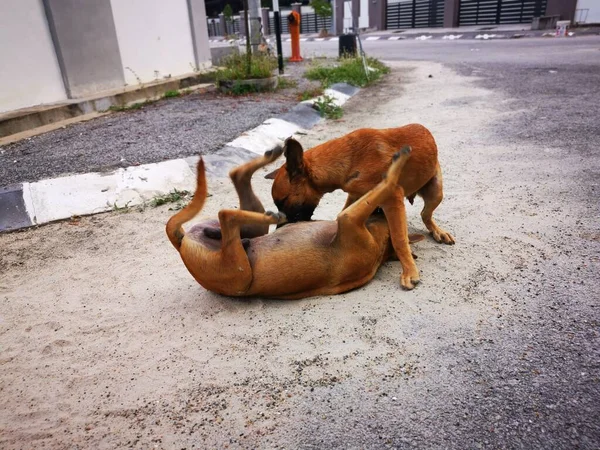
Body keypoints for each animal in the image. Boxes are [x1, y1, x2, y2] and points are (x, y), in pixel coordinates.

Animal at [268, 123, 454, 290]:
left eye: (283, 200)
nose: (279, 230)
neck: (349, 160)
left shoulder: (392, 199)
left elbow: (399, 239)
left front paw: (409, 271)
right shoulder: (355, 196)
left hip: (436, 193)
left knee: (425, 214)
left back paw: (438, 232)